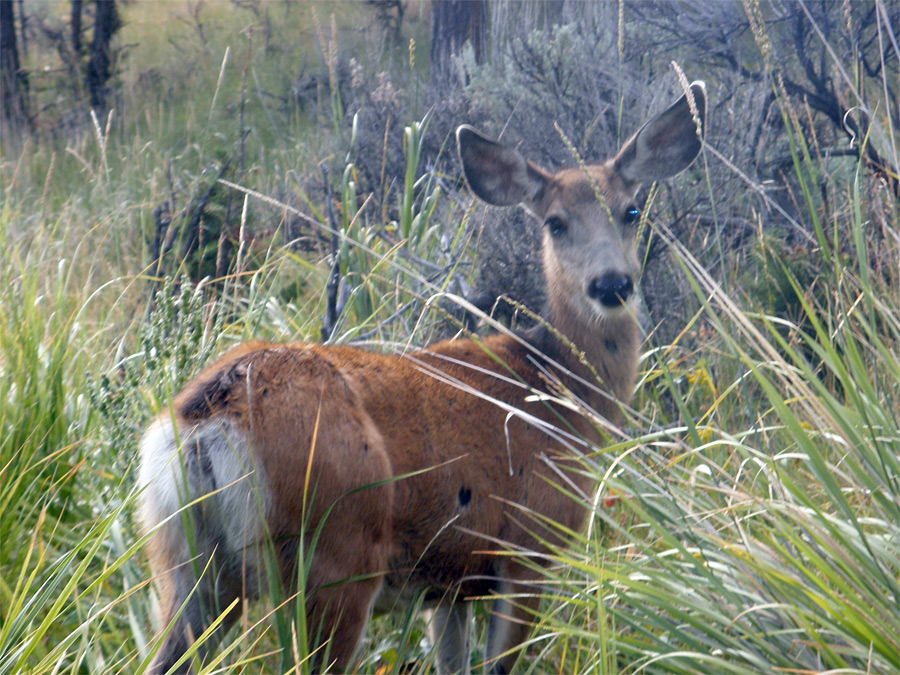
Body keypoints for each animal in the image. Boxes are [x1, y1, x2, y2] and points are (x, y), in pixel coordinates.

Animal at [139, 82, 704, 672]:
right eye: (555, 222)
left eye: (631, 210)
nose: (612, 284)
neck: (558, 389)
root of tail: (207, 423)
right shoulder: (527, 546)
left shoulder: (448, 582)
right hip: (335, 554)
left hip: (185, 566)